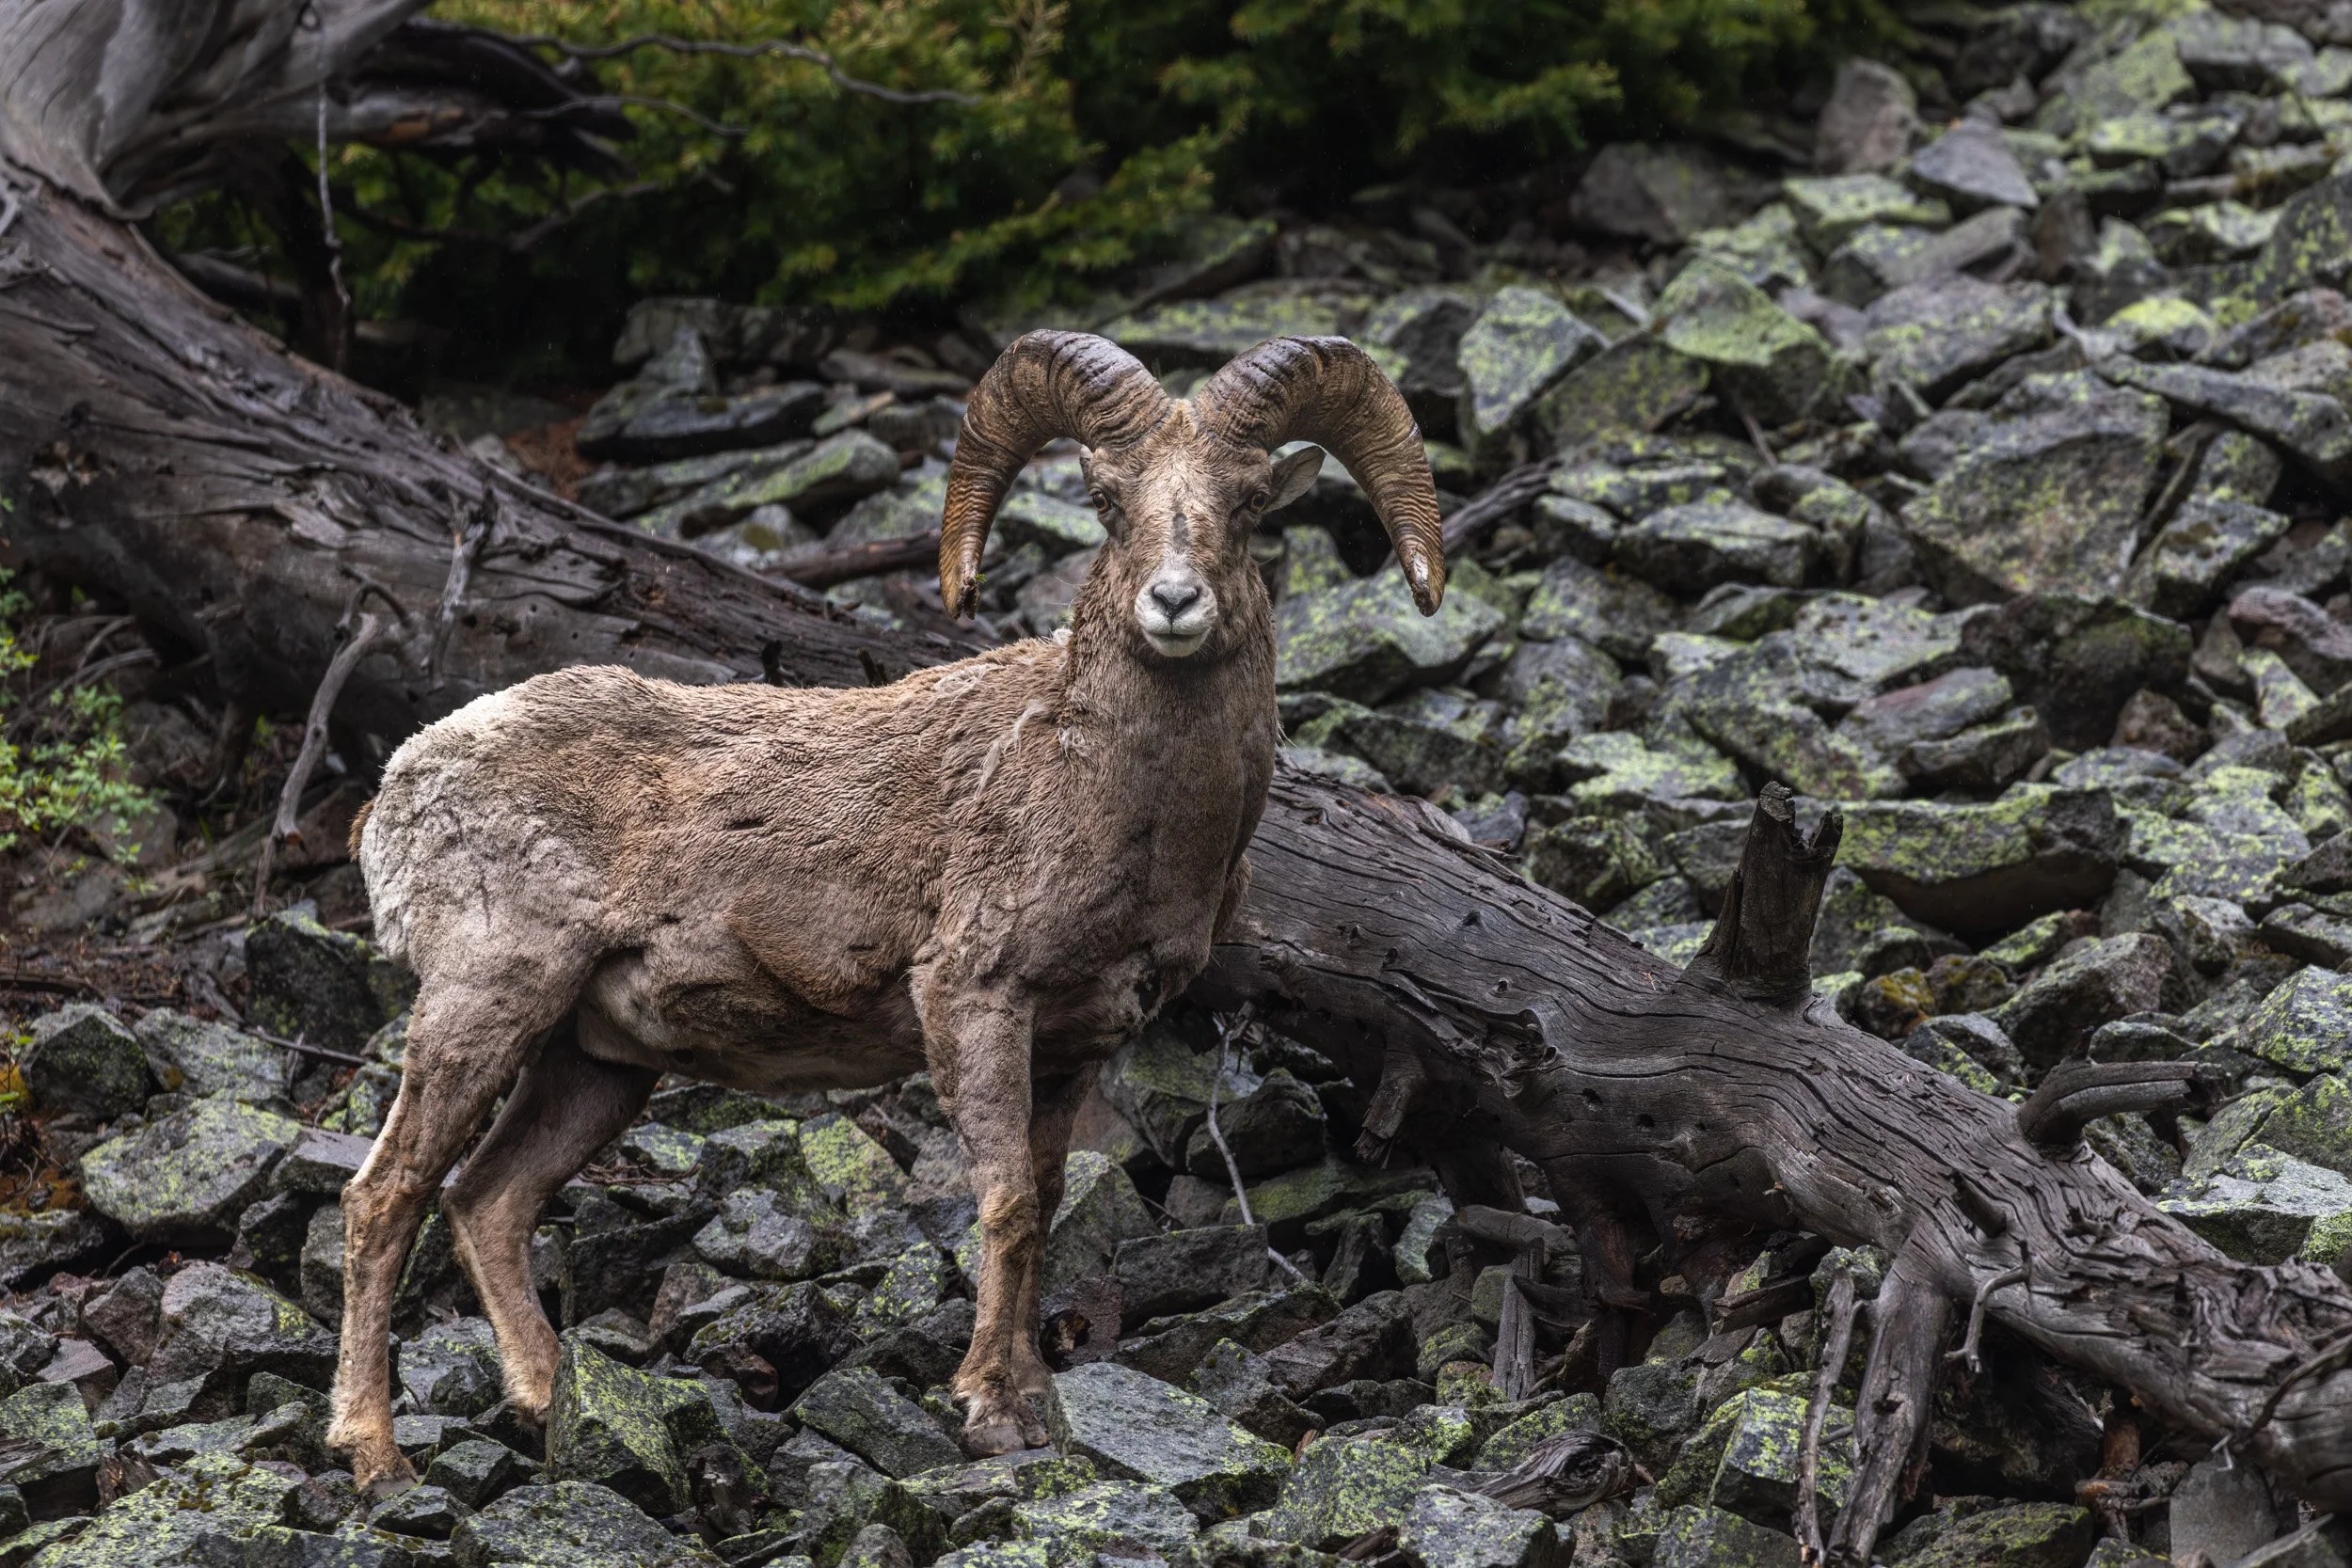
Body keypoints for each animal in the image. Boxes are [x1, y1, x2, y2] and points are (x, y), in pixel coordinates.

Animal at [326, 330, 1447, 1494]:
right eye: (1106, 499)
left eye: (1249, 501)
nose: (1174, 604)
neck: (1116, 799)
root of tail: (402, 782)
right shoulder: (974, 997)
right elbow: (1004, 1202)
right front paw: (985, 1411)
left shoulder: (1071, 1049)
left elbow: (1046, 1201)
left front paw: (1034, 1400)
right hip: (485, 1002)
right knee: (384, 1198)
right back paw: (374, 1453)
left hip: (594, 1065)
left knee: (486, 1201)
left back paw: (546, 1398)